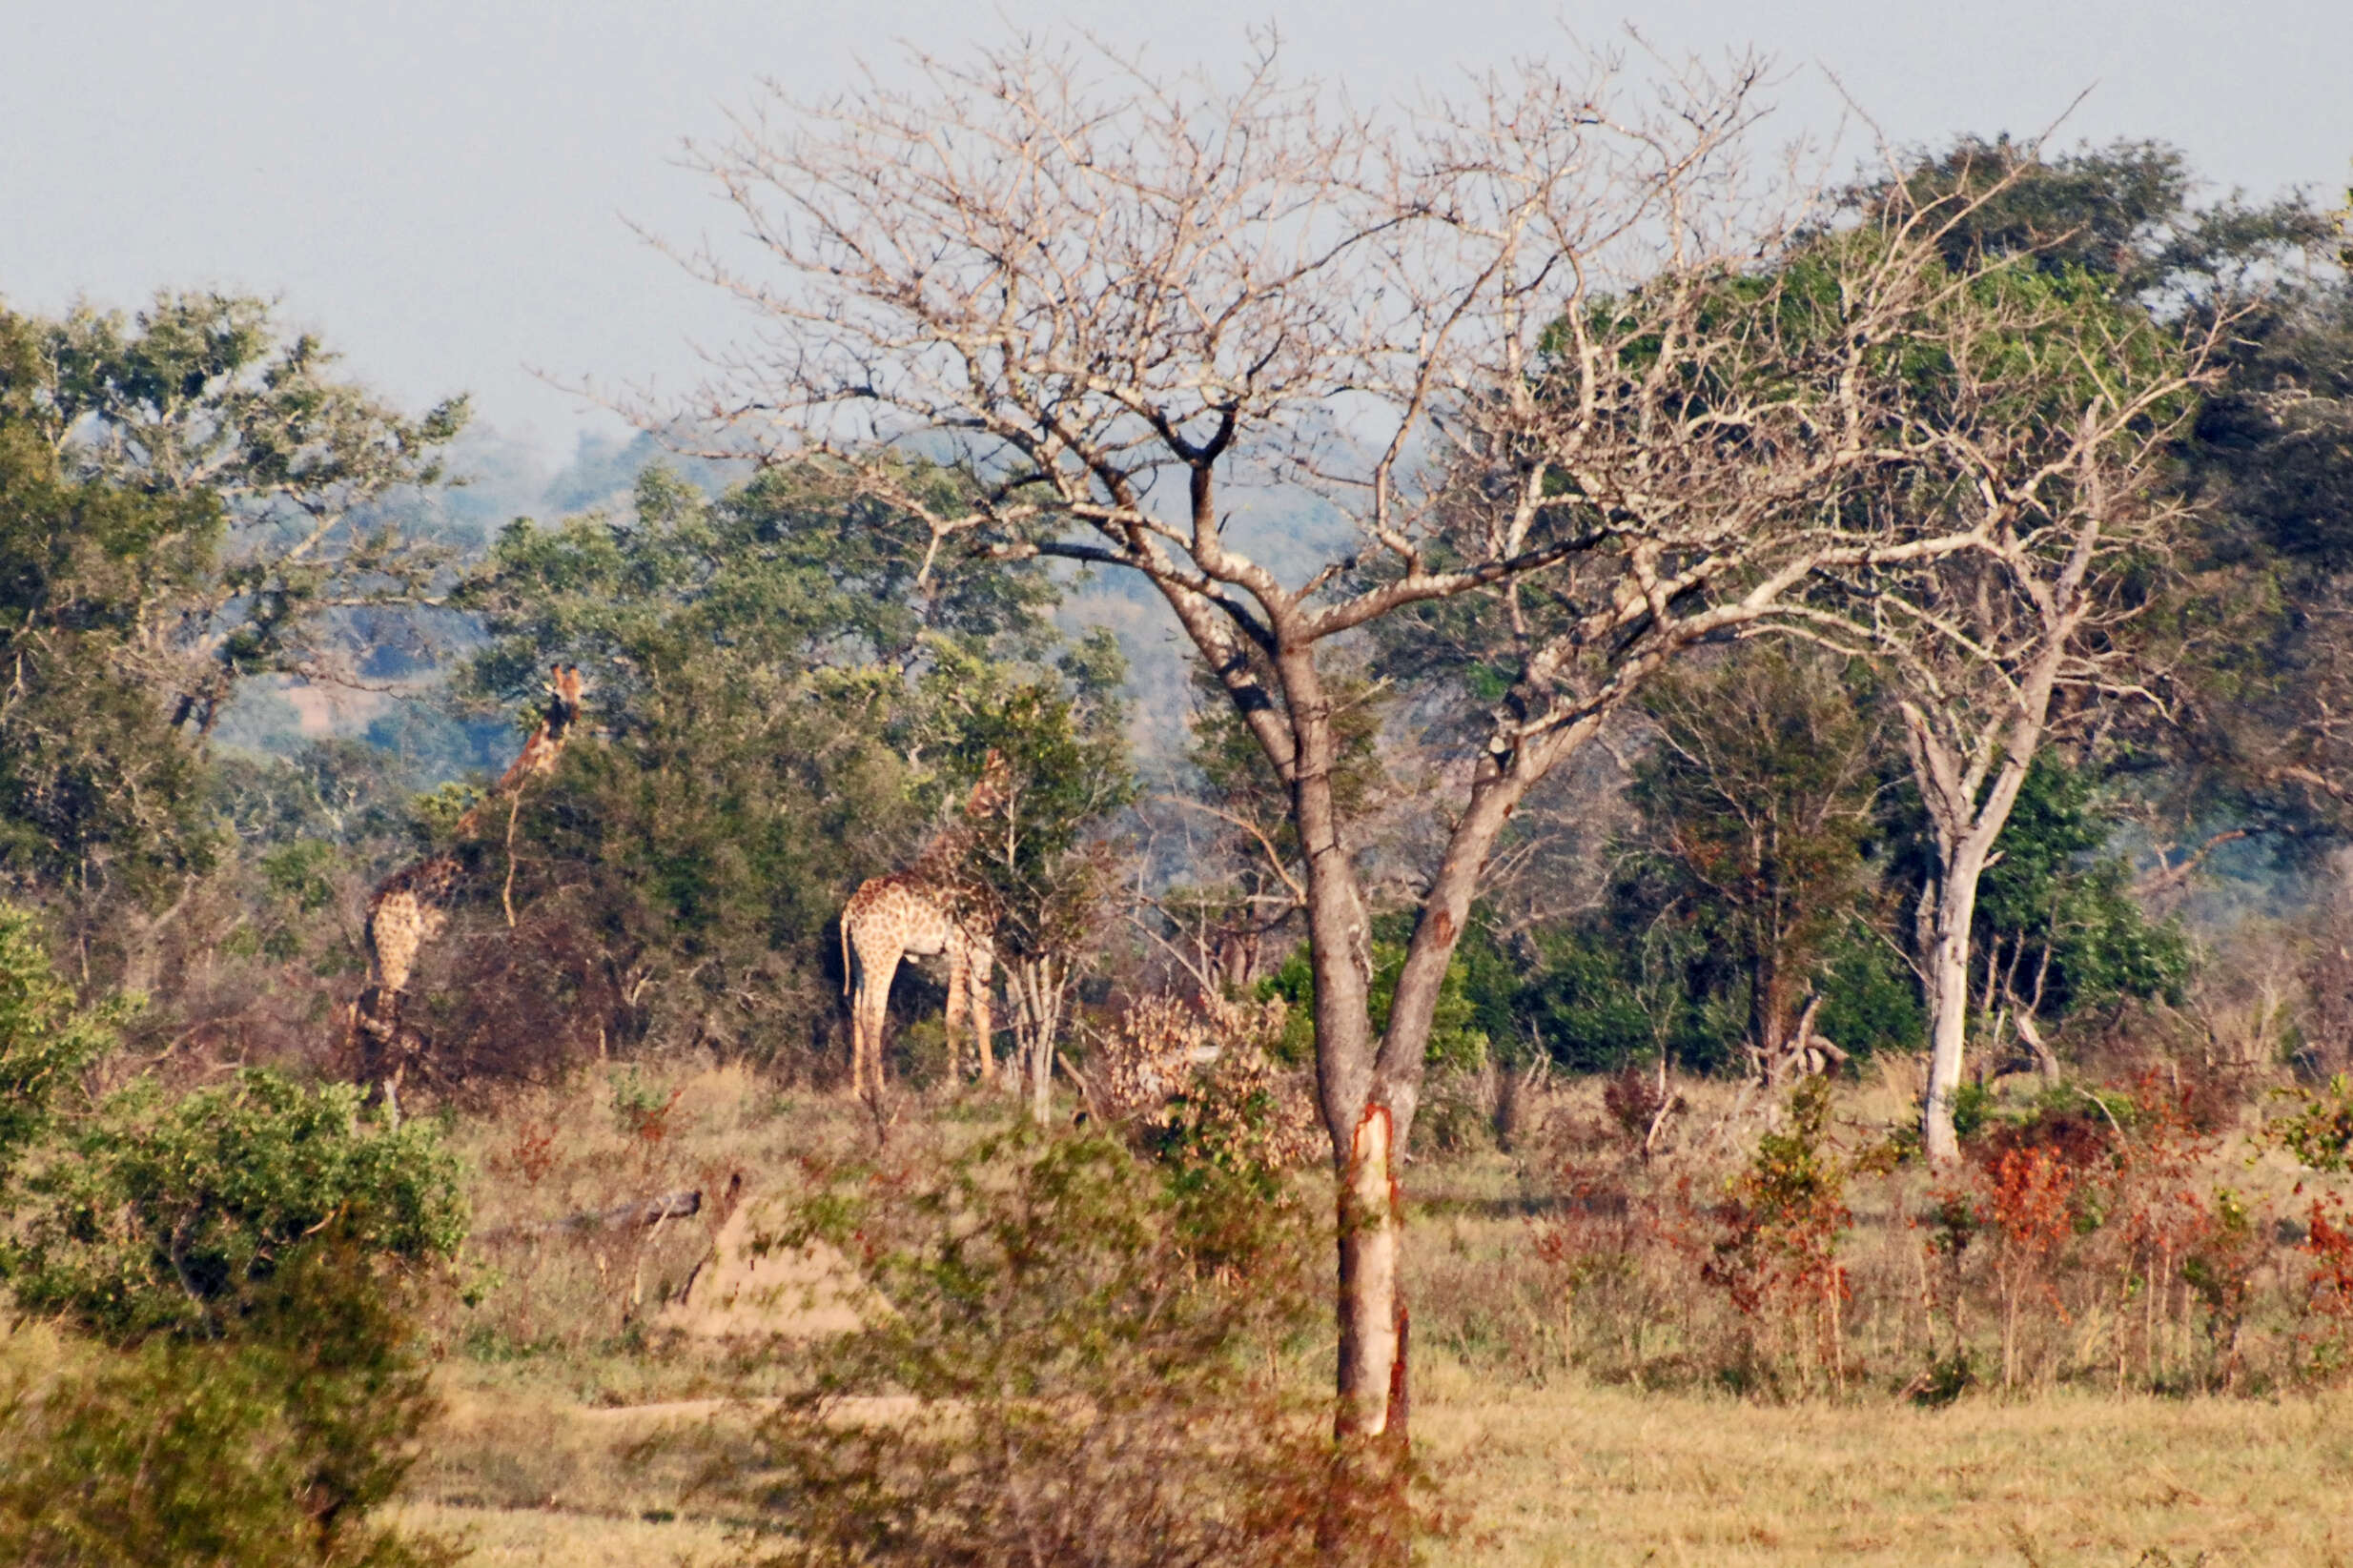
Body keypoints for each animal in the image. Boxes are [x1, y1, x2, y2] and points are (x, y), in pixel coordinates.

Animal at [350, 667, 585, 1100]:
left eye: (583, 692)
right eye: (557, 695)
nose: (573, 716)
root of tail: (372, 910)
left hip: (379, 958)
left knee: (363, 1012)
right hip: (398, 957)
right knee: (380, 1018)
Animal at [842, 752, 1016, 1100]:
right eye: (1000, 772)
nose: (1006, 796)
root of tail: (850, 911)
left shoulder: (983, 944)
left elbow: (983, 1013)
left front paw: (990, 1080)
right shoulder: (960, 945)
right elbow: (955, 1015)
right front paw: (952, 1084)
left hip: (860, 959)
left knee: (856, 1010)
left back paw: (857, 1091)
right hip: (883, 955)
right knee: (873, 1012)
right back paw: (880, 1088)